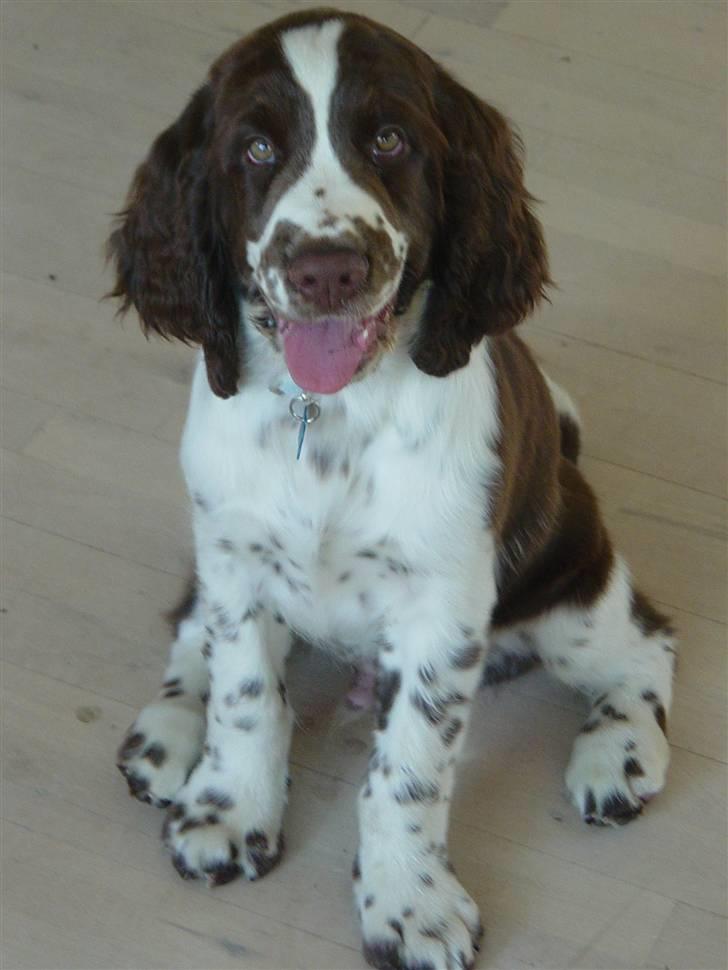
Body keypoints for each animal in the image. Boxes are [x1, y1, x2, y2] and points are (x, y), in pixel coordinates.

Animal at [108, 9, 676, 968]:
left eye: (389, 139)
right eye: (255, 149)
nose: (327, 268)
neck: (331, 415)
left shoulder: (440, 611)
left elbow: (407, 772)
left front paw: (410, 905)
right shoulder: (239, 559)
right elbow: (246, 698)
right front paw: (230, 814)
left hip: (570, 590)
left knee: (645, 647)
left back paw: (619, 757)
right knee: (194, 629)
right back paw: (171, 728)